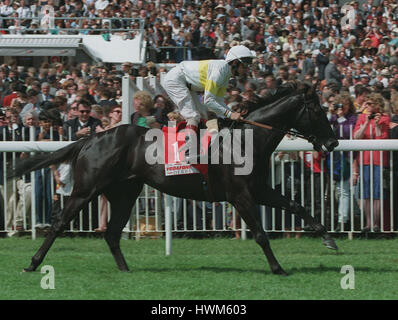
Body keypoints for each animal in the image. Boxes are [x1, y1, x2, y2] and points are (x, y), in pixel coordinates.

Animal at [9, 82, 338, 276]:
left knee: (112, 233)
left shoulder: (258, 189)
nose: (333, 143)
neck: (246, 140)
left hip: (125, 192)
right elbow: (260, 233)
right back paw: (32, 264)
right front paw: (278, 267)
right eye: (317, 110)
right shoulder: (240, 195)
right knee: (60, 223)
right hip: (86, 189)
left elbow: (297, 206)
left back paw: (126, 270)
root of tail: (91, 138)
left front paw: (328, 238)